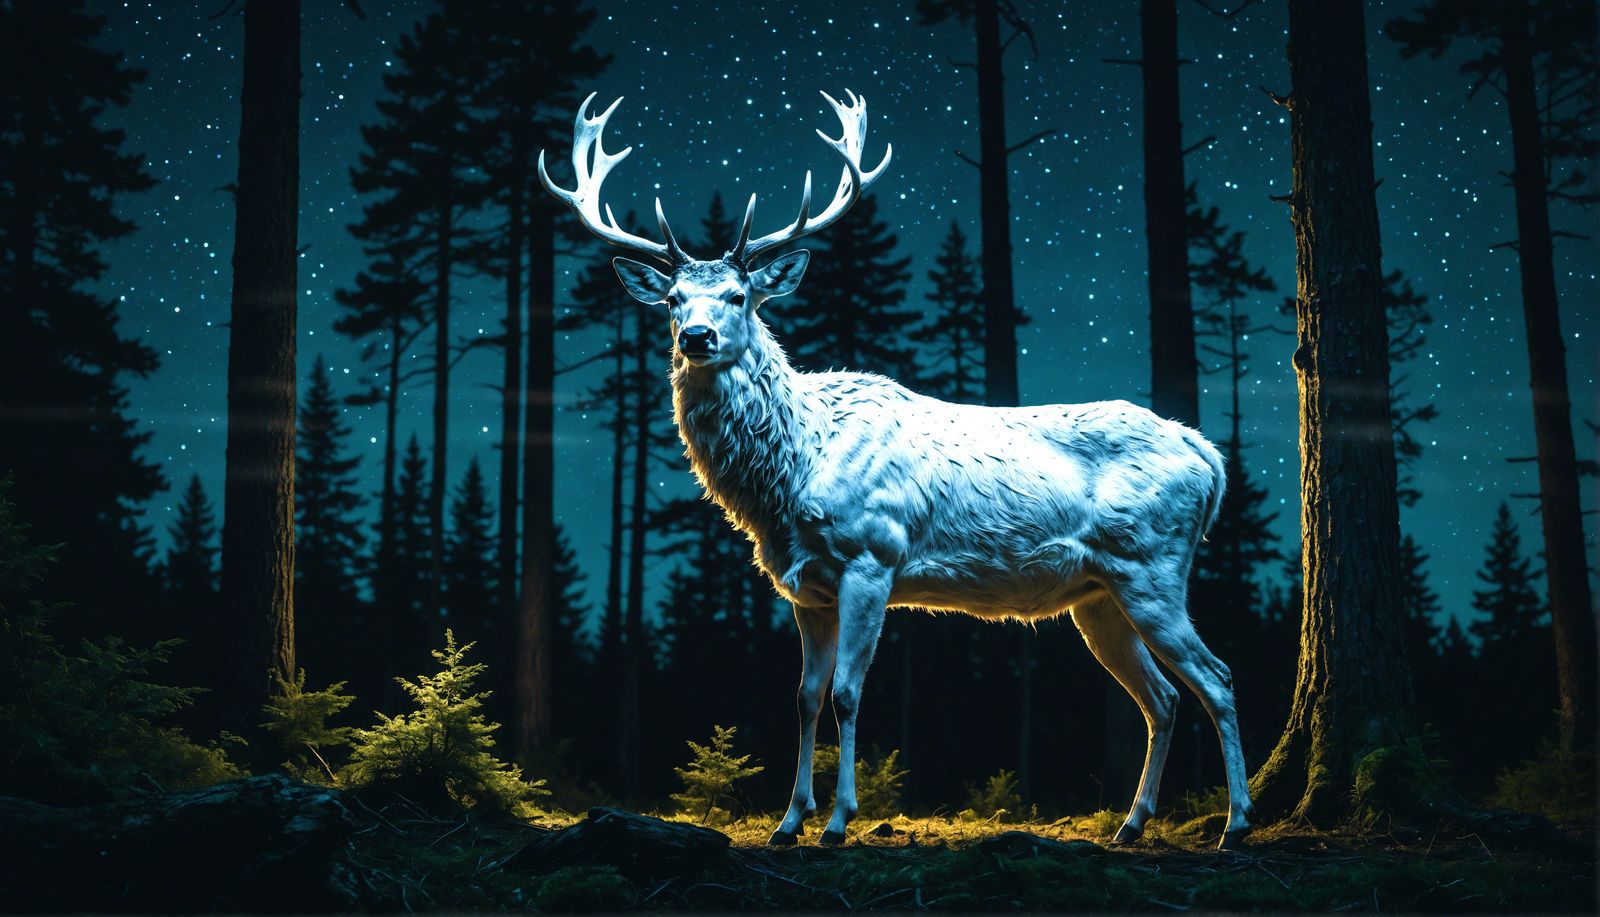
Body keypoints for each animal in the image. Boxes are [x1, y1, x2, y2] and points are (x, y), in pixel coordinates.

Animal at [539, 89, 1256, 850]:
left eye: (739, 296)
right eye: (674, 299)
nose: (696, 337)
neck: (793, 472)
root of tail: (1209, 457)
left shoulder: (872, 556)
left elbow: (849, 694)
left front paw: (837, 820)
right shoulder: (805, 587)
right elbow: (803, 699)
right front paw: (788, 821)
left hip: (1153, 563)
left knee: (1217, 677)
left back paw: (1236, 822)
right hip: (1097, 595)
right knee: (1164, 695)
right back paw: (1131, 822)